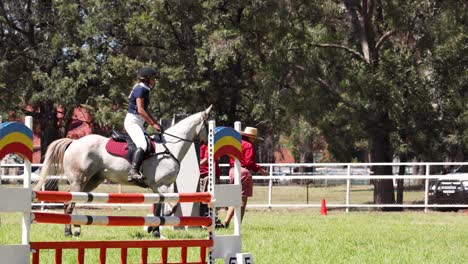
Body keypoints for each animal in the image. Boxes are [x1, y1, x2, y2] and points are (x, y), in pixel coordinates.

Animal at [35, 105, 211, 237]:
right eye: (208, 126)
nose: (208, 144)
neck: (170, 148)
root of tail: (74, 142)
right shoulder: (161, 185)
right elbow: (171, 207)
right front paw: (153, 227)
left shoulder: (158, 187)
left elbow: (159, 208)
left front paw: (154, 231)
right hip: (79, 180)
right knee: (70, 204)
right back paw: (69, 232)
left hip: (92, 181)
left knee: (73, 202)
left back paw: (77, 228)